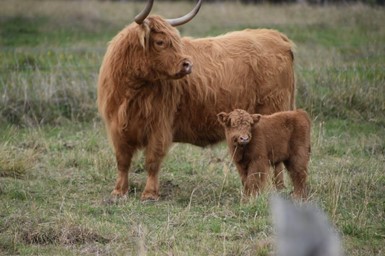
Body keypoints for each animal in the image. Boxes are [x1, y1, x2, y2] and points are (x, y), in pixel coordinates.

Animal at [97, 0, 296, 200]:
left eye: (177, 42)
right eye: (160, 42)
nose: (187, 64)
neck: (132, 91)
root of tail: (276, 35)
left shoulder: (159, 126)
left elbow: (152, 160)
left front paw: (149, 194)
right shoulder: (117, 127)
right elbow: (122, 160)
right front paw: (118, 191)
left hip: (273, 110)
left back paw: (278, 189)